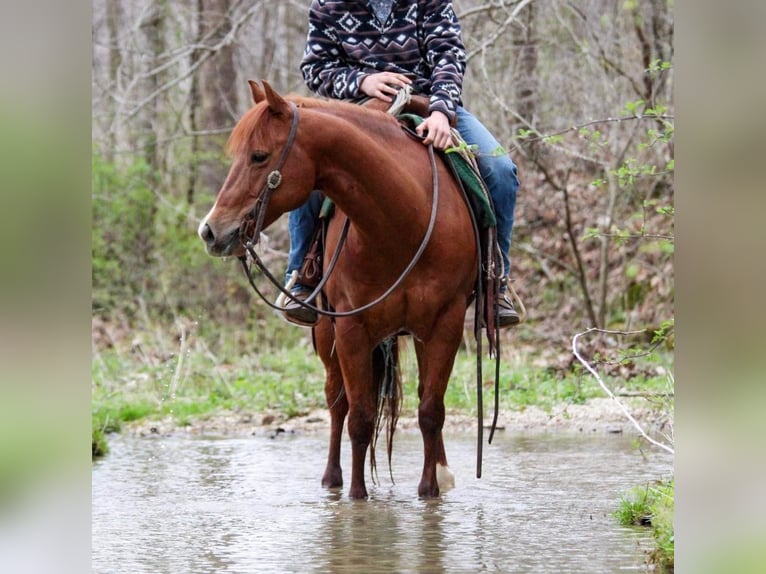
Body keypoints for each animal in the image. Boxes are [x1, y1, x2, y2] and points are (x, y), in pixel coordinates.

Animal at [201, 81, 484, 500]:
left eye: (258, 156)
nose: (210, 231)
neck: (402, 221)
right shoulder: (351, 328)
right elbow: (360, 417)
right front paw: (355, 496)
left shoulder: (445, 323)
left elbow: (431, 411)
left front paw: (430, 489)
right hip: (325, 333)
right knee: (337, 403)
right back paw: (331, 479)